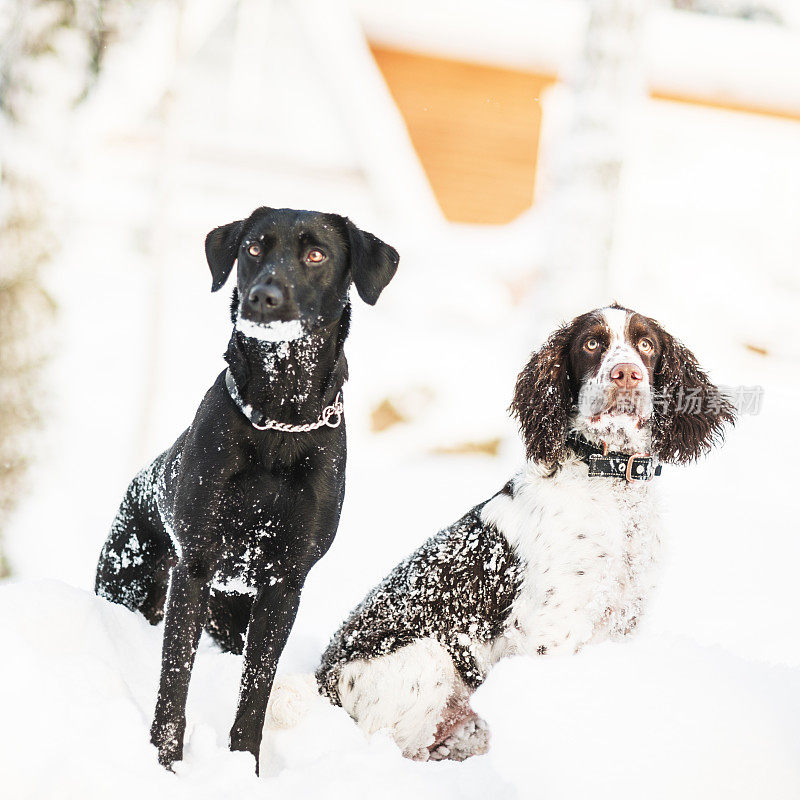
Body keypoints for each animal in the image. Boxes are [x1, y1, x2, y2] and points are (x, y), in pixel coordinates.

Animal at [96, 206, 400, 768]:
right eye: (253, 248)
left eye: (316, 253)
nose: (263, 296)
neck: (279, 420)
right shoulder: (194, 567)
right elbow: (175, 681)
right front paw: (166, 764)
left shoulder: (285, 584)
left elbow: (256, 690)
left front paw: (245, 766)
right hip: (130, 581)